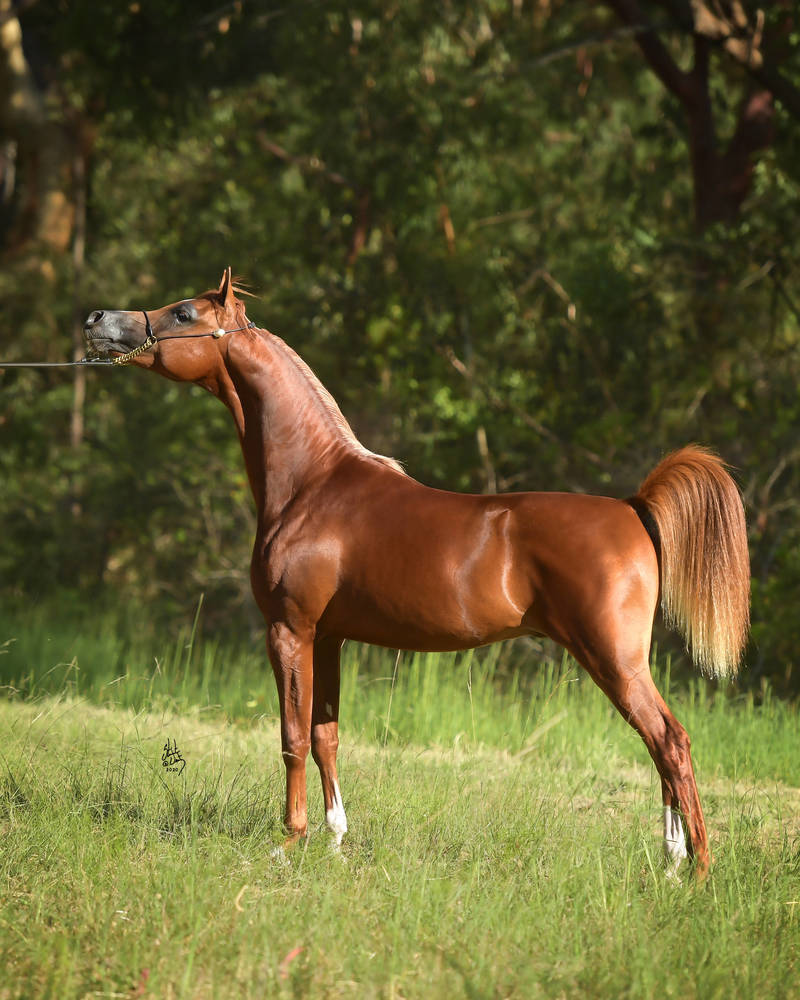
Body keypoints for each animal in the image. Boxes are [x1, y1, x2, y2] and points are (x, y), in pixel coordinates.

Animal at [84, 269, 750, 877]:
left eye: (184, 312)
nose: (97, 320)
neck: (313, 484)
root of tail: (633, 509)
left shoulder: (290, 631)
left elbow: (292, 737)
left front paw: (288, 842)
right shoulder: (329, 638)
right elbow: (325, 735)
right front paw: (335, 839)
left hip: (613, 658)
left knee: (670, 742)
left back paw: (698, 870)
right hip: (620, 662)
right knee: (660, 747)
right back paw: (672, 862)